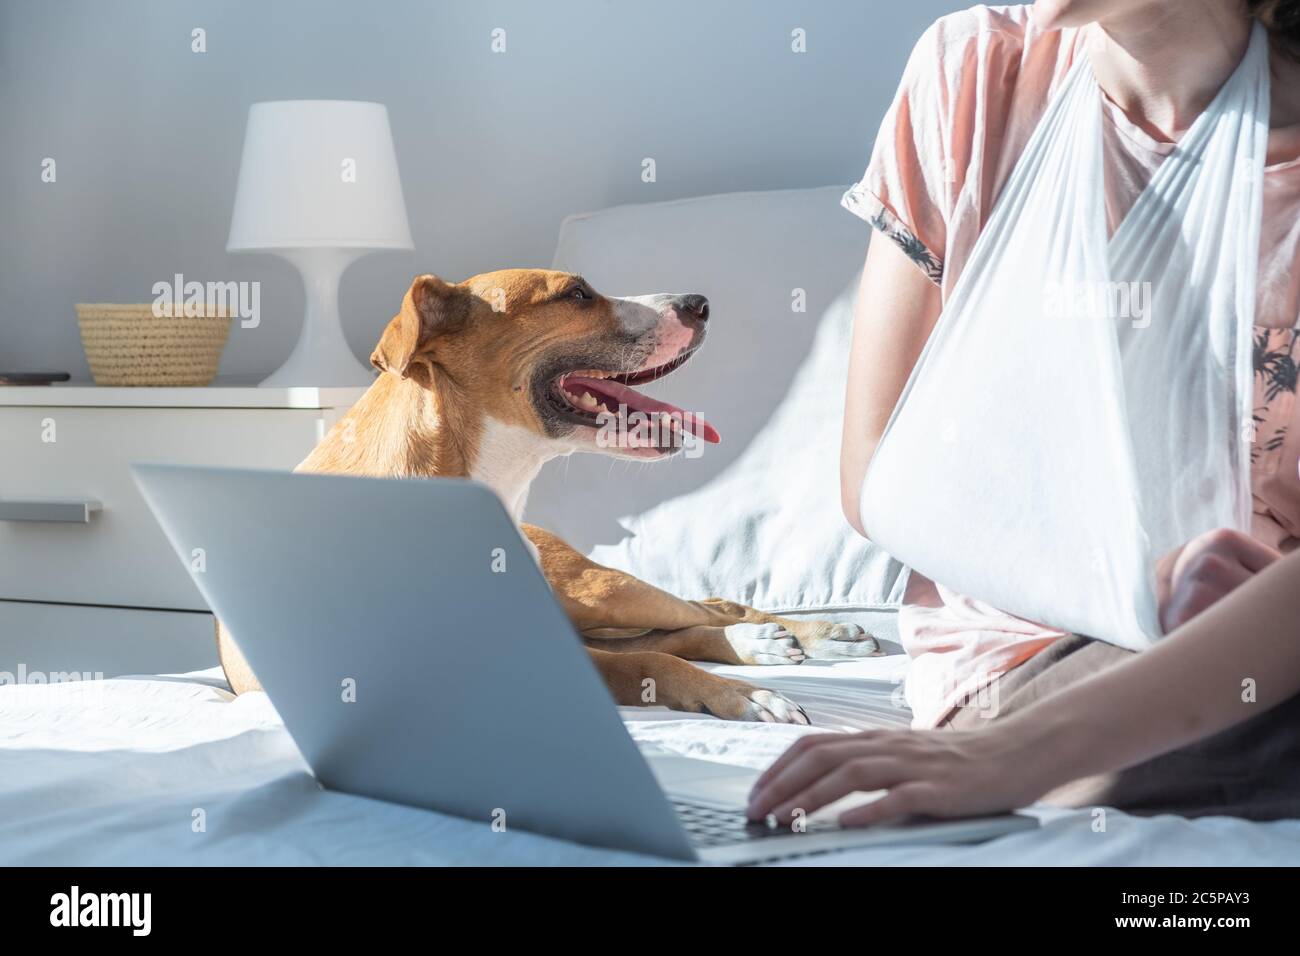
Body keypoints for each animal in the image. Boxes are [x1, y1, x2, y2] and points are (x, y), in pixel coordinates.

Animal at [218, 270, 878, 723]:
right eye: (577, 294)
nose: (701, 303)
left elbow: (652, 662)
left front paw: (745, 696)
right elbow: (650, 660)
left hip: (598, 591)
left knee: (709, 607)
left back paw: (804, 636)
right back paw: (759, 645)